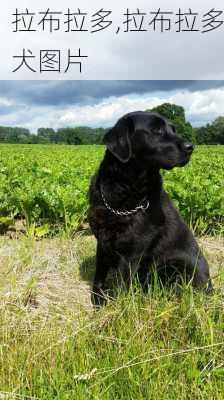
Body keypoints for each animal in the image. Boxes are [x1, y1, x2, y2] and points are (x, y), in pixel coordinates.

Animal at [87, 111, 212, 304]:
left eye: (173, 129)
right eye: (156, 130)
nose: (191, 147)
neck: (124, 189)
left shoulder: (130, 254)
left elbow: (122, 288)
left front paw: (117, 308)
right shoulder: (102, 242)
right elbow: (99, 277)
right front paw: (98, 302)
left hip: (172, 266)